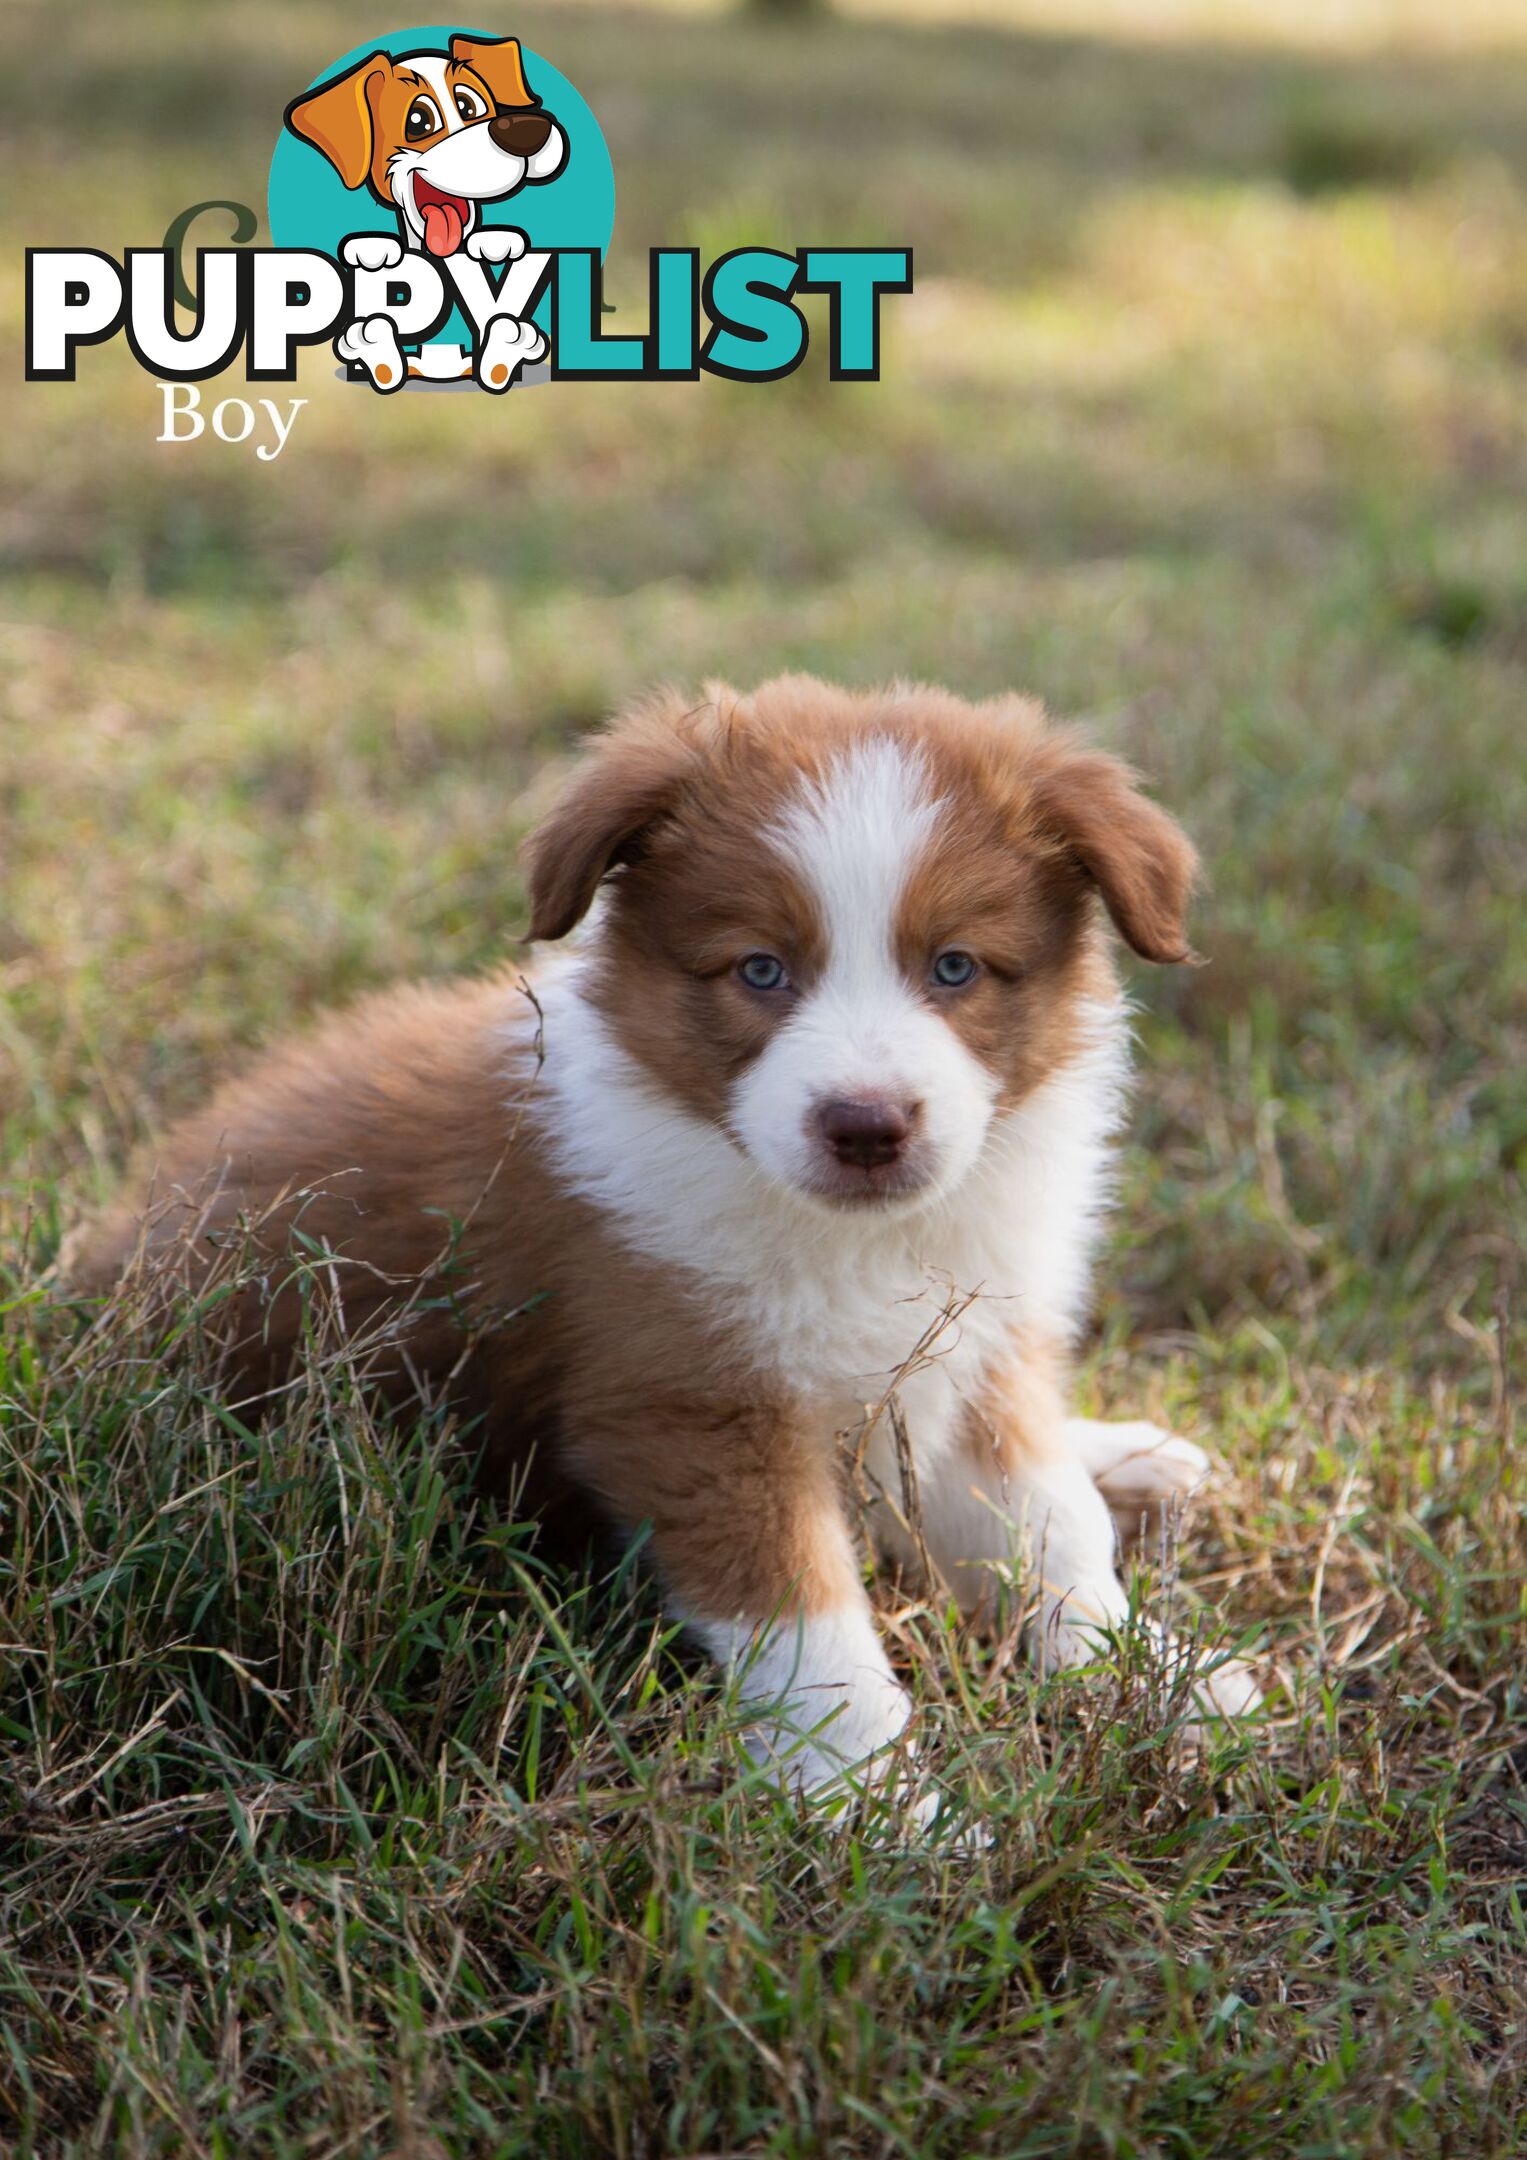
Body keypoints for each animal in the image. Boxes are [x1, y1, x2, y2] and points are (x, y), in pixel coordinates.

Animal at [68, 678, 1269, 1823]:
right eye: (760, 971)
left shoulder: (975, 1345)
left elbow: (1050, 1532)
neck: (853, 1238)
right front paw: (879, 1806)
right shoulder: (691, 1410)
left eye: (957, 967)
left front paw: (1154, 1680)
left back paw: (1127, 1455)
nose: (866, 1127)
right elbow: (811, 1629)